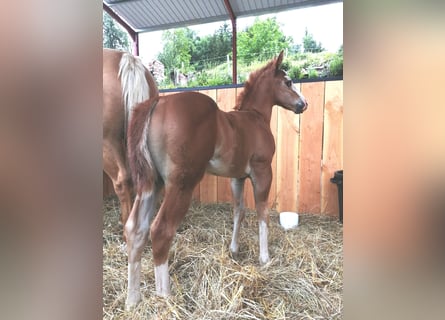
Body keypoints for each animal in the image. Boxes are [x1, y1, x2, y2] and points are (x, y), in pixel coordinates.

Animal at [124, 50, 306, 308]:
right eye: (288, 82)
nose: (303, 104)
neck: (255, 118)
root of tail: (158, 102)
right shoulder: (262, 171)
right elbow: (262, 212)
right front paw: (265, 257)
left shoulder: (237, 177)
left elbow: (239, 211)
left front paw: (234, 249)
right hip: (181, 184)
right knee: (160, 230)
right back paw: (165, 297)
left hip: (152, 184)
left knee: (135, 230)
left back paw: (133, 300)